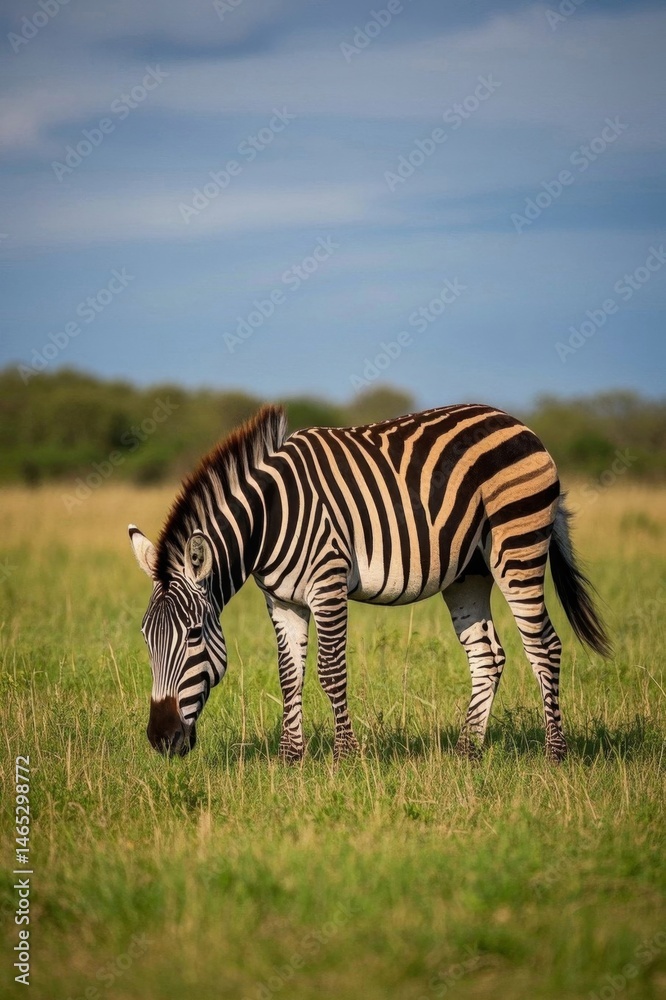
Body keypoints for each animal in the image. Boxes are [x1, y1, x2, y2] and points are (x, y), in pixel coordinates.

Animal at [129, 403, 610, 762]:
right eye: (146, 638)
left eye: (193, 635)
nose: (161, 740)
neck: (267, 519)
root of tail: (518, 423)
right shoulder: (282, 601)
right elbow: (289, 675)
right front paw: (290, 759)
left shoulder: (327, 582)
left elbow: (330, 671)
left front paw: (346, 756)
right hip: (468, 574)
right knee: (487, 656)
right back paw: (466, 753)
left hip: (518, 546)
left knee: (544, 646)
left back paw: (555, 755)